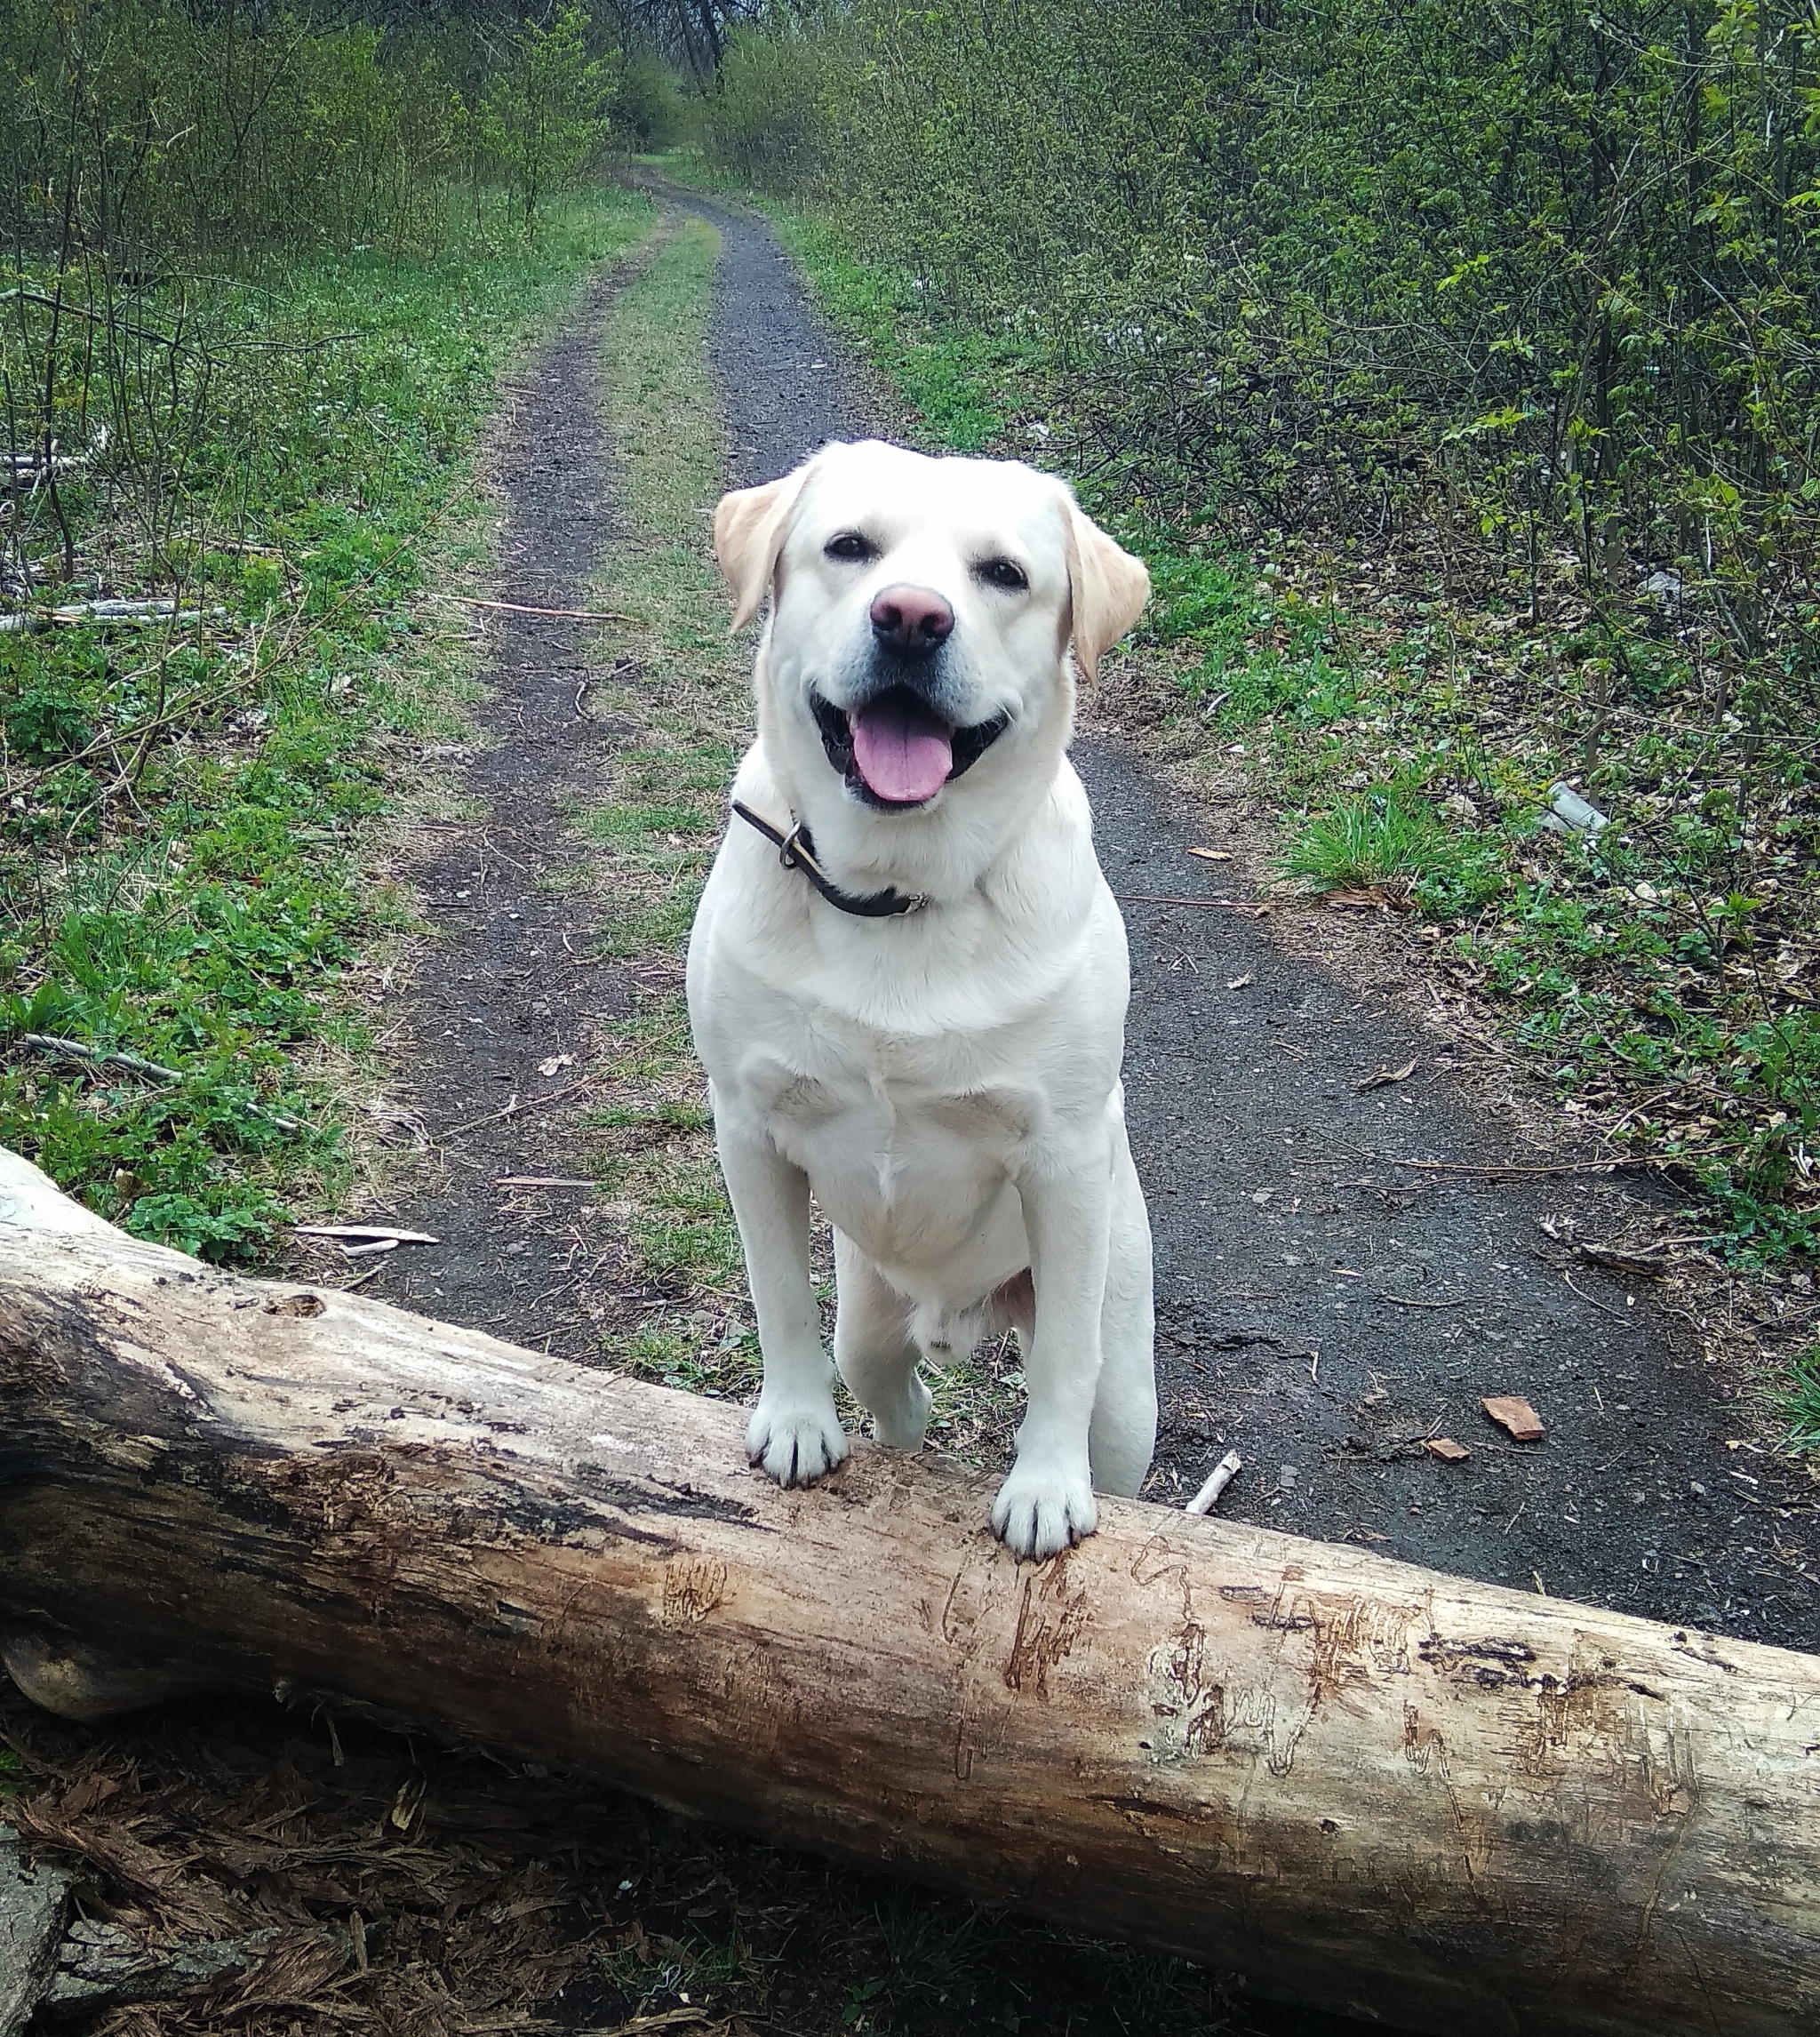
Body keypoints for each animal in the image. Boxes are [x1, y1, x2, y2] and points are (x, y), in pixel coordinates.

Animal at [683, 442, 1156, 1556]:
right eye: (849, 548)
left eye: (1003, 575)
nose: (909, 618)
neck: (894, 892)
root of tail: (960, 1311)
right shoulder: (747, 1126)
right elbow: (777, 1294)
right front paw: (795, 1423)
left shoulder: (1063, 1159)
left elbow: (1062, 1363)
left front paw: (1044, 1486)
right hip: (872, 1305)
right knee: (892, 1387)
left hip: (1128, 1377)